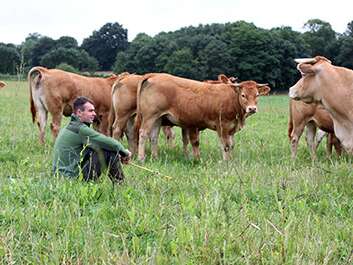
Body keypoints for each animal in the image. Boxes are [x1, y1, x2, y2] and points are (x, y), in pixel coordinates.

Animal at [135, 72, 270, 160]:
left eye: (257, 95)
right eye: (243, 95)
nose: (252, 108)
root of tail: (154, 75)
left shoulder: (231, 128)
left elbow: (231, 145)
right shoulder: (223, 127)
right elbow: (225, 146)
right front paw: (226, 162)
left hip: (158, 119)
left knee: (153, 137)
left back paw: (155, 157)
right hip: (149, 117)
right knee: (143, 134)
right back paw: (141, 158)